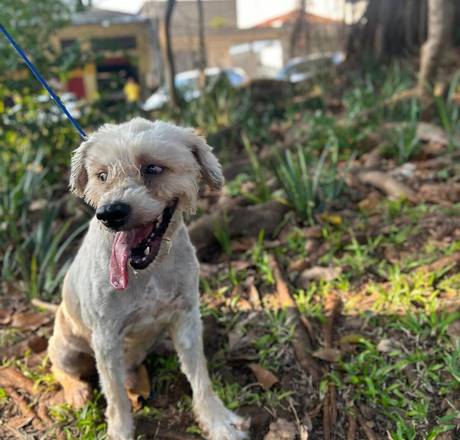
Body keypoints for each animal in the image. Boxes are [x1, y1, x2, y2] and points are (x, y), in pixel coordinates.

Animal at [48, 118, 248, 440]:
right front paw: (120, 431)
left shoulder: (187, 318)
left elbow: (200, 378)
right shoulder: (105, 339)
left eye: (153, 168)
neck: (148, 271)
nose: (110, 213)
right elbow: (115, 397)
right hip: (66, 347)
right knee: (62, 369)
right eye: (102, 176)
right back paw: (77, 391)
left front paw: (218, 421)